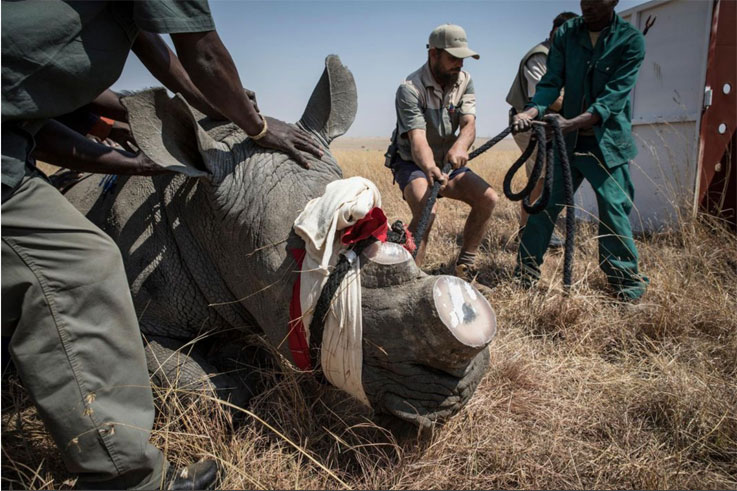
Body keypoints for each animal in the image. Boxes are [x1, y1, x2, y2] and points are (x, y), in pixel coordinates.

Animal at [64, 55, 497, 428]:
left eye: (394, 231)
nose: (461, 391)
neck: (195, 205)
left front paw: (247, 359)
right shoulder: (142, 316)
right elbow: (204, 386)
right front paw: (237, 374)